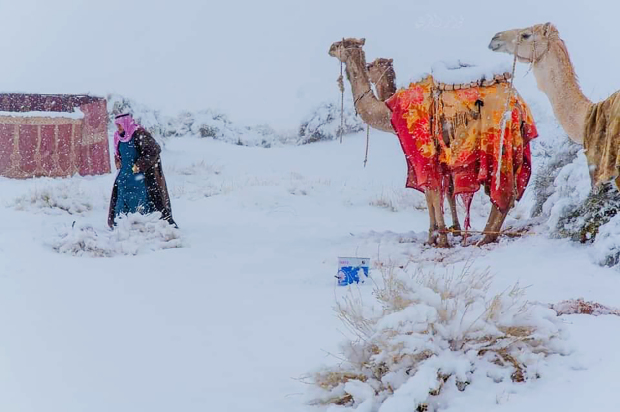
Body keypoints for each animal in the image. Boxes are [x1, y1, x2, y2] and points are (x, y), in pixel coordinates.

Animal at [330, 37, 536, 246]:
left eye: (339, 44)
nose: (330, 49)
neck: (388, 111)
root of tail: (518, 105)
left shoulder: (422, 149)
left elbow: (431, 191)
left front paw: (437, 237)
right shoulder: (442, 156)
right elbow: (445, 191)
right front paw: (451, 231)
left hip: (498, 142)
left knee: (504, 192)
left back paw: (485, 238)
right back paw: (486, 236)